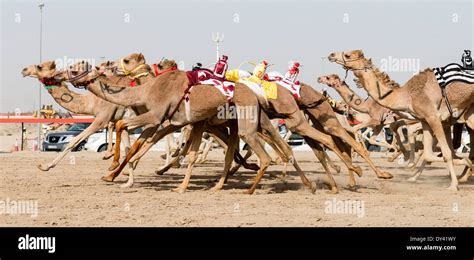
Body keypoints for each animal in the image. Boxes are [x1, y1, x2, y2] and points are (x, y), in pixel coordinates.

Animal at [328, 49, 472, 190]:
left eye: (348, 55)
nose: (331, 55)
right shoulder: (424, 120)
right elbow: (428, 152)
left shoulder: (432, 117)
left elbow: (445, 152)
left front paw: (454, 184)